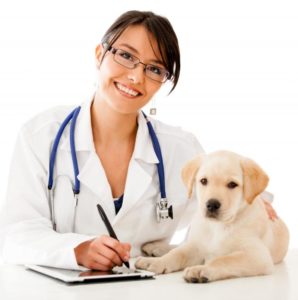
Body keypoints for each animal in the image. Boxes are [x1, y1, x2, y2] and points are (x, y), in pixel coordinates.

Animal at [136, 151, 290, 282]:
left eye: (232, 184)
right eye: (203, 181)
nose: (211, 205)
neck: (219, 226)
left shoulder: (257, 256)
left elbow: (223, 260)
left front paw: (202, 269)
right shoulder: (196, 246)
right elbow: (177, 254)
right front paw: (159, 262)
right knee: (179, 245)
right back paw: (154, 250)